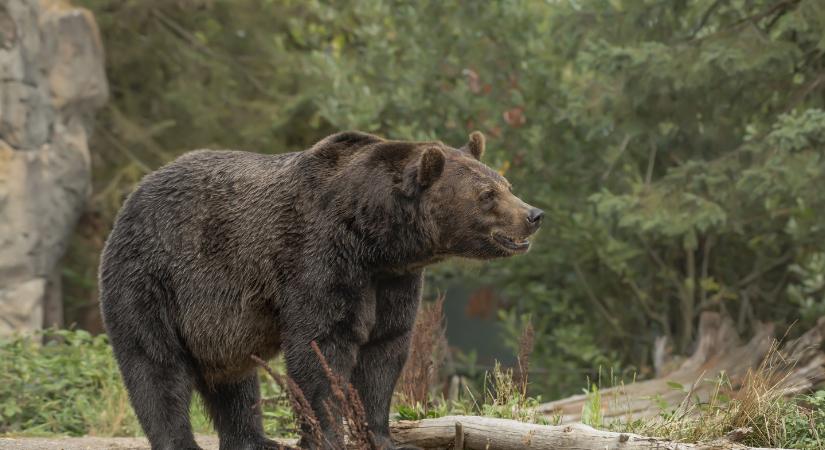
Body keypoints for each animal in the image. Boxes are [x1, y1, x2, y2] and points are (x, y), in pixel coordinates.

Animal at [98, 129, 540, 446]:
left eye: (505, 183)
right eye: (486, 195)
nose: (533, 215)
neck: (375, 238)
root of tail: (131, 199)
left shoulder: (392, 282)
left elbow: (385, 352)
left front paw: (378, 434)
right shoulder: (319, 259)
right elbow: (321, 349)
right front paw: (326, 433)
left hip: (217, 325)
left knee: (234, 380)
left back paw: (256, 440)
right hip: (153, 280)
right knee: (156, 367)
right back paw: (181, 439)